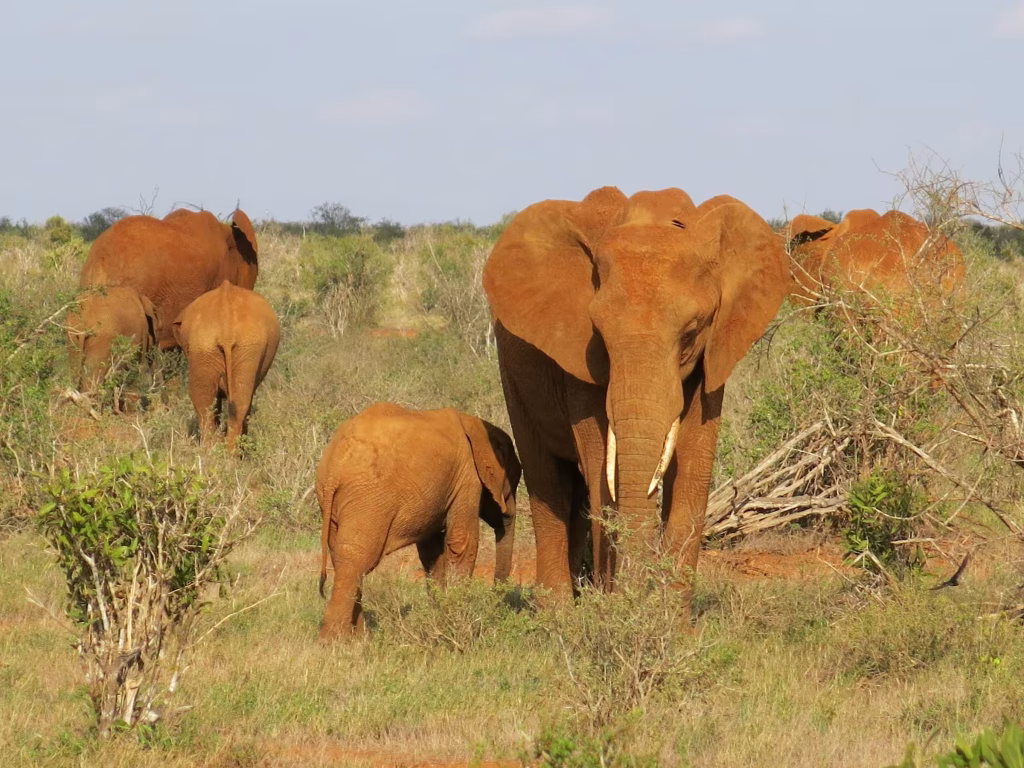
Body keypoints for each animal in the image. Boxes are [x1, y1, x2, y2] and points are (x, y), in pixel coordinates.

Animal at [316, 403, 521, 639]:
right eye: (514, 482)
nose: (497, 605)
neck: (473, 423)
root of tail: (334, 469)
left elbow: (431, 553)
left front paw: (441, 620)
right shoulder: (467, 476)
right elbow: (461, 541)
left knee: (342, 558)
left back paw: (359, 639)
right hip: (366, 499)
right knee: (355, 559)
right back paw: (336, 642)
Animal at [481, 186, 790, 611]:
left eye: (691, 332)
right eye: (598, 333)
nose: (631, 600)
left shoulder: (714, 354)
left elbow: (694, 467)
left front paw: (671, 623)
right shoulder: (578, 359)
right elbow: (601, 469)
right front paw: (611, 614)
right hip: (512, 373)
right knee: (547, 479)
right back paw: (558, 613)